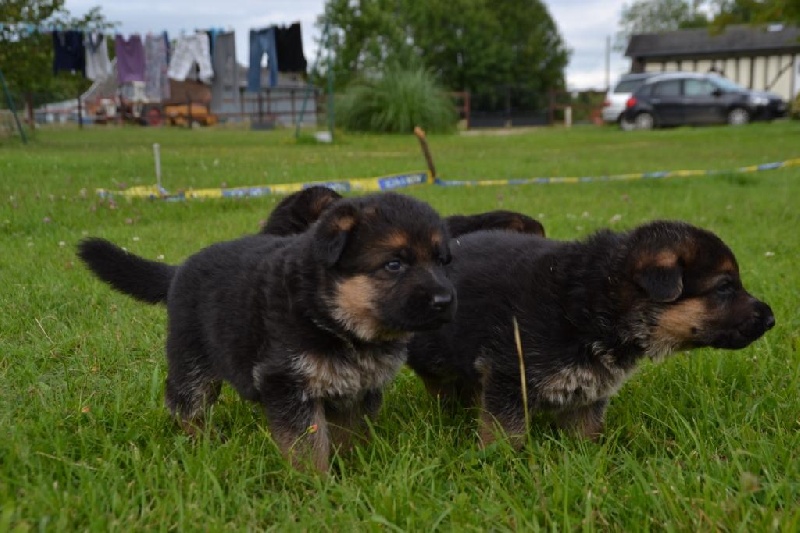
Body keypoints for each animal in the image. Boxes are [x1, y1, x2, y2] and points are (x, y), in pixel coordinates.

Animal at [82, 191, 460, 470]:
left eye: (442, 262)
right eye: (394, 264)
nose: (445, 300)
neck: (331, 313)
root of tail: (178, 271)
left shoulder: (359, 389)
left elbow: (349, 435)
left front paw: (351, 469)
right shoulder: (288, 382)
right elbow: (307, 444)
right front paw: (317, 487)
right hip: (193, 355)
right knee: (185, 402)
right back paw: (203, 441)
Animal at [406, 219, 776, 444]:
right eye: (725, 287)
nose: (772, 319)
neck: (598, 301)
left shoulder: (591, 390)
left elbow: (587, 429)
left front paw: (588, 458)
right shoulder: (509, 374)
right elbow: (506, 431)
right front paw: (501, 463)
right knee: (439, 384)